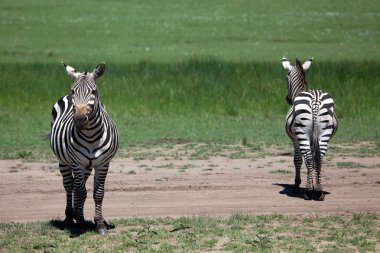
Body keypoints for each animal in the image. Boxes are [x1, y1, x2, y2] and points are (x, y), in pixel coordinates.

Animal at [49, 62, 117, 234]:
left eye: (93, 91)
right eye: (73, 91)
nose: (79, 119)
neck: (91, 136)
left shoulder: (103, 164)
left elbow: (98, 194)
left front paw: (99, 224)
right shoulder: (76, 163)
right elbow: (80, 192)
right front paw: (80, 222)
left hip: (87, 165)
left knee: (76, 185)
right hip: (64, 161)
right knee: (69, 185)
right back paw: (69, 217)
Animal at [282, 58, 338, 201]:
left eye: (287, 78)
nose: (288, 99)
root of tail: (315, 99)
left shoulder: (295, 139)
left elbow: (298, 160)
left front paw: (298, 184)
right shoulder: (313, 140)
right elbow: (314, 159)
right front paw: (313, 185)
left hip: (302, 135)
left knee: (307, 158)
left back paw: (307, 192)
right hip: (324, 134)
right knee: (320, 158)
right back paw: (319, 192)